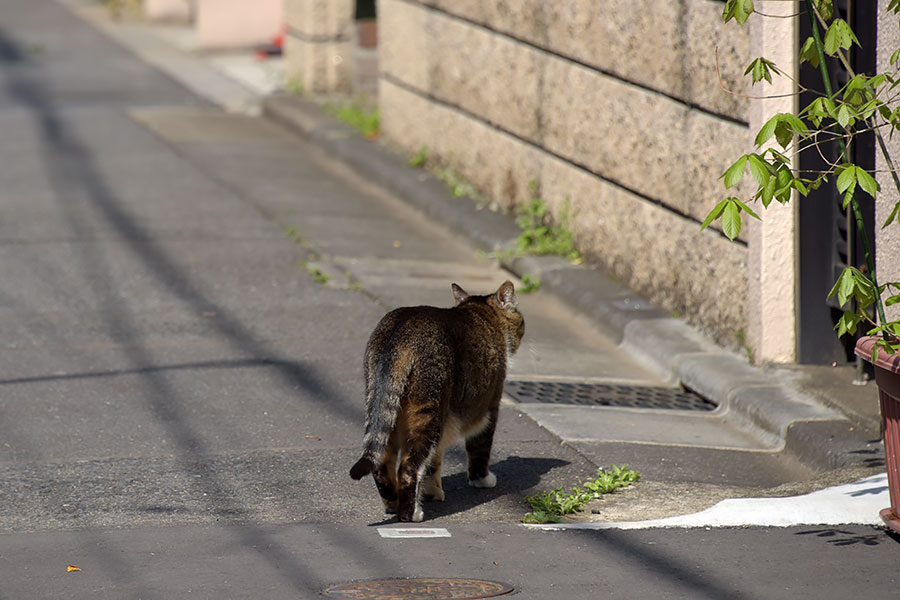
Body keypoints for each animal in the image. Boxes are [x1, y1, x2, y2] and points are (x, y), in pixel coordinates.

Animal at [348, 282, 524, 520]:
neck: (481, 313)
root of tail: (401, 334)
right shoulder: (488, 408)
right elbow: (479, 448)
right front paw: (483, 480)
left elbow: (434, 462)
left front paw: (433, 492)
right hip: (428, 413)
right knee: (409, 467)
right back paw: (411, 514)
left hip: (384, 407)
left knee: (382, 462)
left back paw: (394, 502)